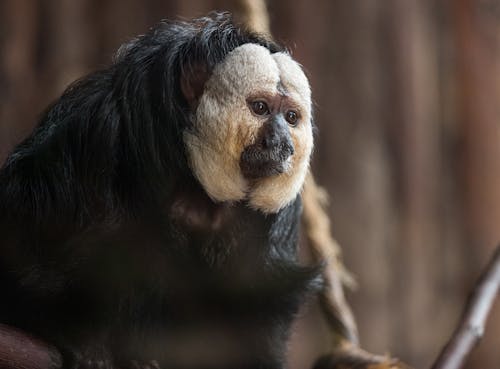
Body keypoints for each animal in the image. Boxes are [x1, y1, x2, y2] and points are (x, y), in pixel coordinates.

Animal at [0, 12, 318, 368]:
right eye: (261, 108)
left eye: (291, 117)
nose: (281, 143)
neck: (195, 183)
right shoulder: (97, 129)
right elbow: (32, 236)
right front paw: (77, 339)